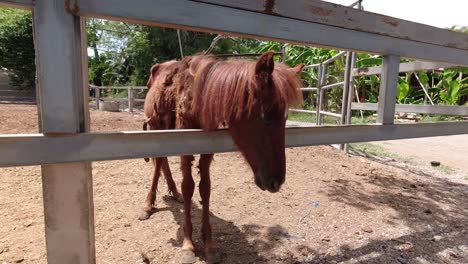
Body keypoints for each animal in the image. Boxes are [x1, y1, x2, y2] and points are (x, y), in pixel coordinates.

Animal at [143, 51, 304, 262]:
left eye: (285, 118)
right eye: (266, 117)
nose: (276, 182)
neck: (196, 97)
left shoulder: (207, 149)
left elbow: (205, 188)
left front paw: (209, 245)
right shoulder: (185, 146)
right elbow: (188, 187)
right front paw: (188, 243)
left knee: (162, 162)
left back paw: (173, 193)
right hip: (157, 128)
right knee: (158, 163)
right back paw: (148, 204)